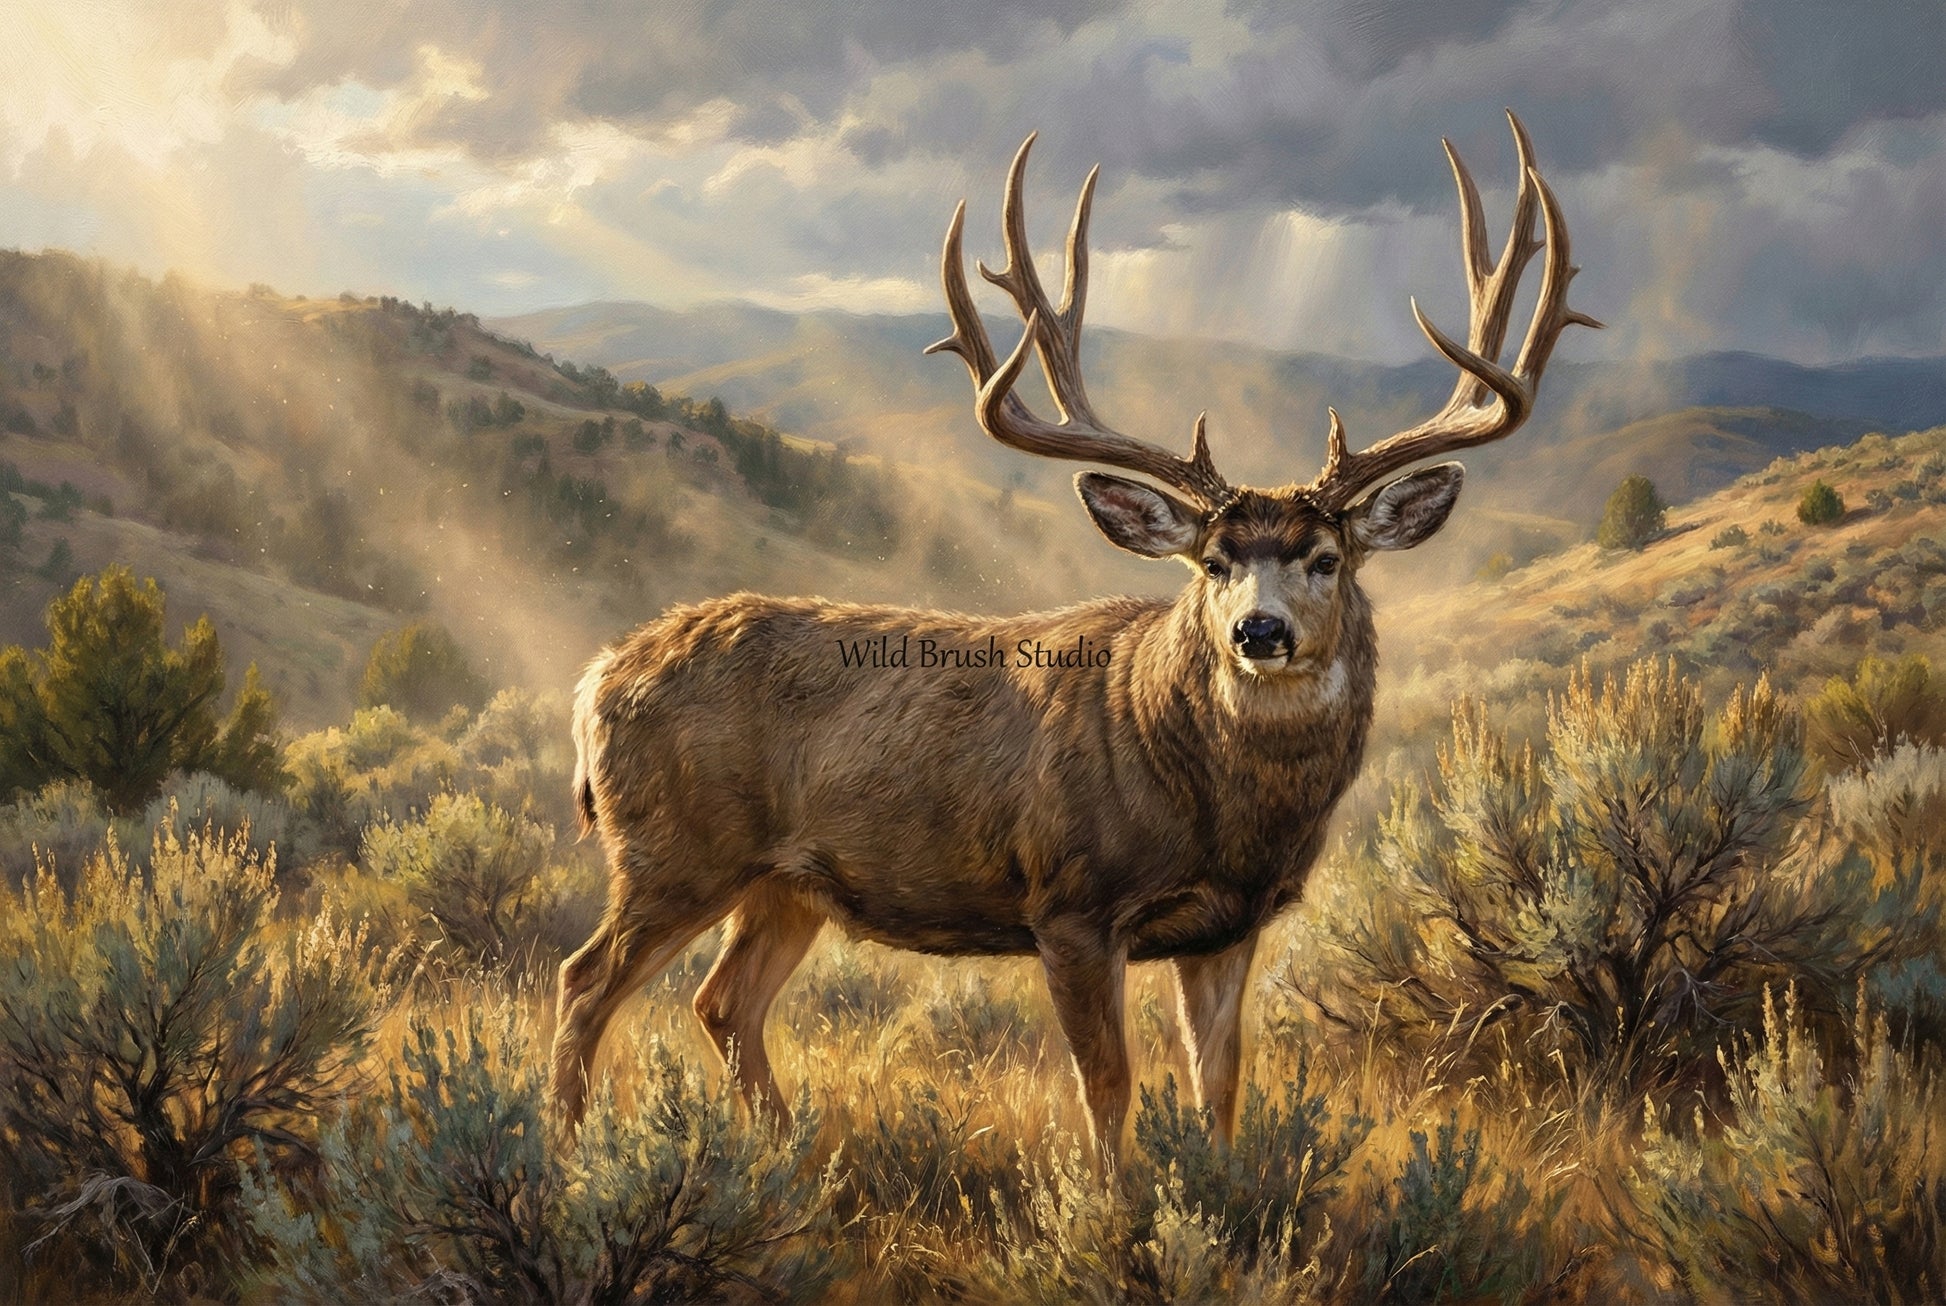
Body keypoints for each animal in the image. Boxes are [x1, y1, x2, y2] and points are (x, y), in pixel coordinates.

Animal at [550, 112, 1598, 1158]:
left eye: (1327, 558)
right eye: (1210, 563)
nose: (1259, 630)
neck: (1217, 805)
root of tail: (595, 675)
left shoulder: (1229, 926)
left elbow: (1219, 1087)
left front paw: (1215, 1190)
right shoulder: (1071, 901)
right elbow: (1109, 1085)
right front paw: (1111, 1195)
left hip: (785, 882)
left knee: (723, 1003)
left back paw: (791, 1153)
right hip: (674, 849)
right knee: (584, 981)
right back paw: (569, 1151)